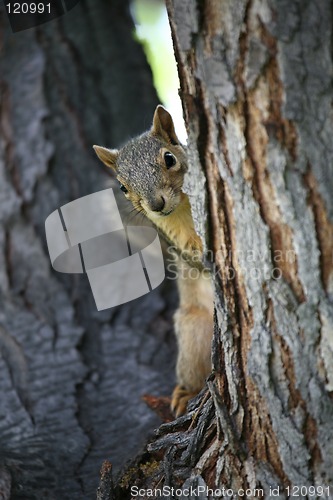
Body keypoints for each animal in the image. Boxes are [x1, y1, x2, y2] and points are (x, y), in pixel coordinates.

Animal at [93, 104, 213, 414]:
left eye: (169, 158)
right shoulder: (172, 237)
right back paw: (186, 392)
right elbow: (193, 258)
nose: (156, 205)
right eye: (122, 187)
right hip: (193, 332)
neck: (181, 209)